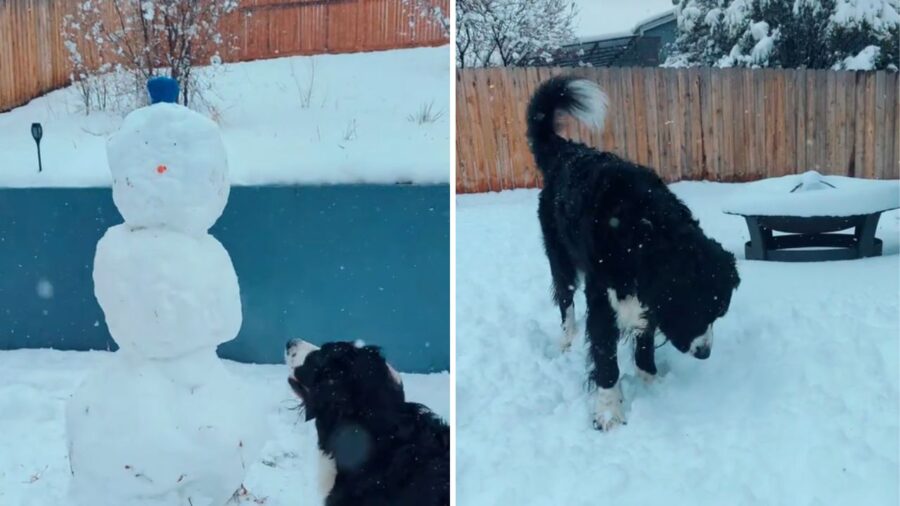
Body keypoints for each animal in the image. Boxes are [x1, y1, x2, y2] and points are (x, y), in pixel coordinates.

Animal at [524, 75, 740, 430]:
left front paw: (650, 378)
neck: (645, 231)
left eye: (718, 313)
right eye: (696, 310)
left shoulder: (648, 298)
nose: (704, 352)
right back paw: (567, 338)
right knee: (565, 298)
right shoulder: (602, 298)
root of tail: (568, 150)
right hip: (559, 255)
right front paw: (609, 411)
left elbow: (645, 339)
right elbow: (605, 357)